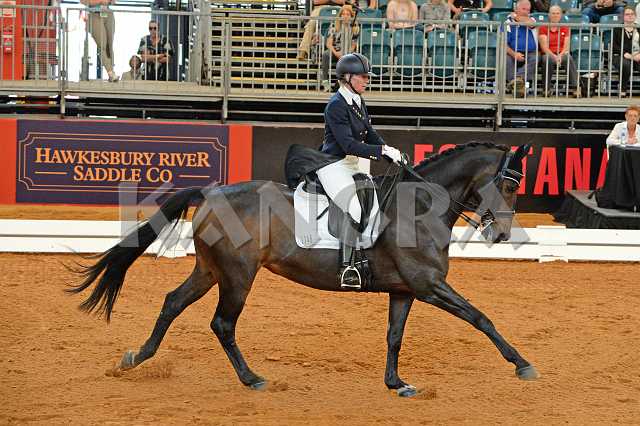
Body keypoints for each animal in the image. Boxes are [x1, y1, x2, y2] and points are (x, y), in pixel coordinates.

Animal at [69, 142, 539, 397]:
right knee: (223, 323)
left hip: (210, 269)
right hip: (238, 274)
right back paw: (253, 379)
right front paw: (522, 364)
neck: (419, 208)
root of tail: (212, 192)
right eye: (509, 183)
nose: (500, 235)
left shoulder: (405, 290)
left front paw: (396, 383)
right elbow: (481, 317)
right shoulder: (429, 285)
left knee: (172, 303)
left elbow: (394, 336)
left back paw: (136, 357)